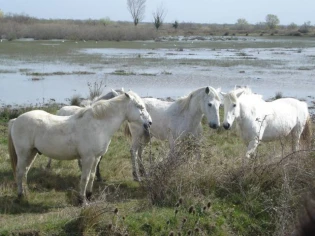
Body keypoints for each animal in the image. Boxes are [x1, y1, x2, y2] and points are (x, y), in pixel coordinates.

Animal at [8, 91, 153, 204]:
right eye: (140, 106)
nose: (149, 123)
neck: (97, 125)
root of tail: (16, 120)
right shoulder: (88, 158)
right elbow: (85, 177)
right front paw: (82, 200)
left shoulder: (96, 157)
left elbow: (93, 176)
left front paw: (89, 195)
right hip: (23, 153)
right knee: (20, 172)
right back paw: (20, 195)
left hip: (31, 153)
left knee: (24, 172)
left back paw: (26, 193)